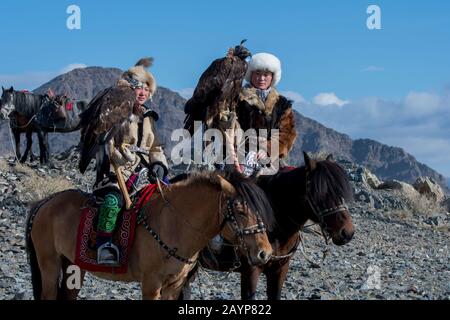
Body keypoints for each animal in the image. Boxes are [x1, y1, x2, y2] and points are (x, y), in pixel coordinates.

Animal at [26, 170, 276, 300]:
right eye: (241, 211)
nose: (265, 253)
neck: (174, 225)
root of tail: (44, 203)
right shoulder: (151, 285)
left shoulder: (174, 286)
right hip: (49, 265)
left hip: (73, 266)